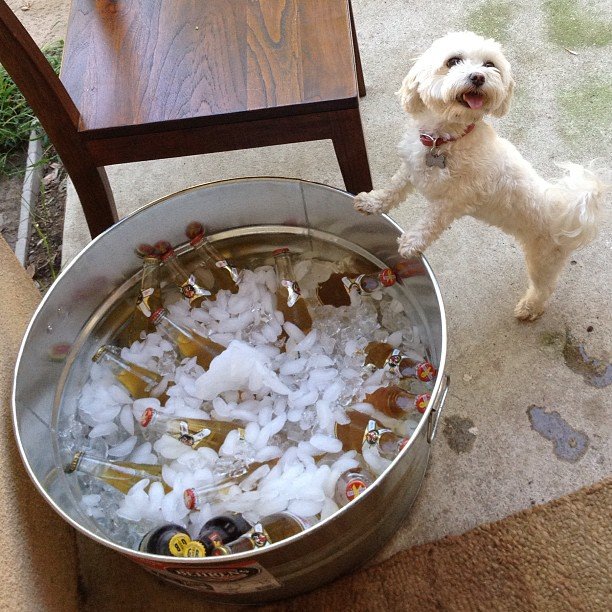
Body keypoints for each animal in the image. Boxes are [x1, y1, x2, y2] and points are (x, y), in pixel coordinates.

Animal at [356, 32, 604, 320]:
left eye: (489, 64)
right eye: (453, 61)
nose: (478, 77)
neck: (444, 141)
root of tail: (567, 208)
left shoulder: (457, 199)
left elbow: (432, 219)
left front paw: (412, 242)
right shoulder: (410, 168)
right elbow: (393, 189)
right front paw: (372, 203)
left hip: (543, 259)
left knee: (544, 288)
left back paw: (530, 307)